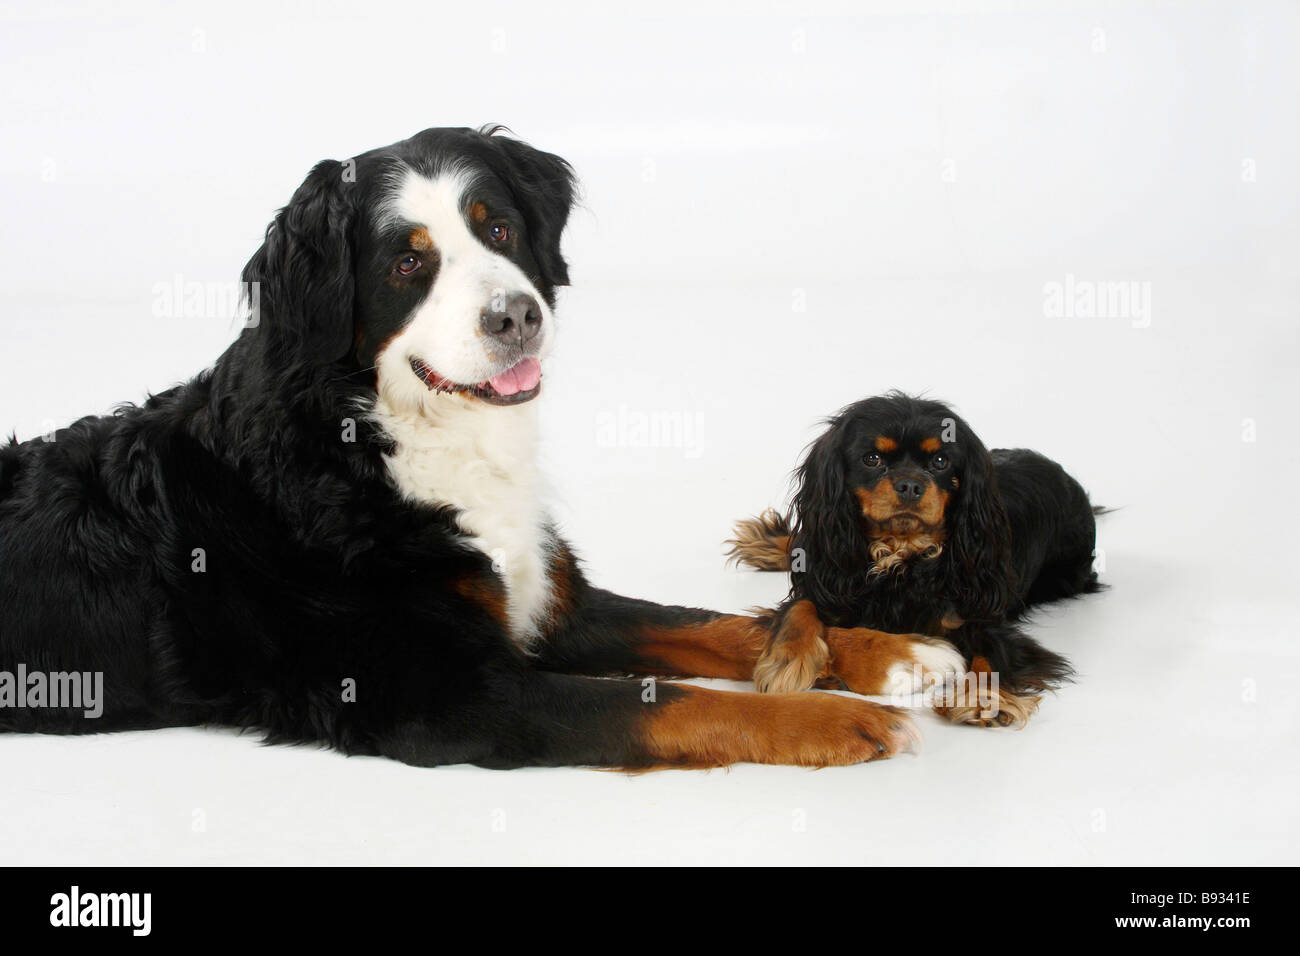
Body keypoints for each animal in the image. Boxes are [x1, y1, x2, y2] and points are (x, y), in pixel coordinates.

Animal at [0, 127, 967, 770]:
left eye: (495, 227)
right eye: (406, 263)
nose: (516, 316)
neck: (389, 440)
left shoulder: (550, 604)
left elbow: (724, 624)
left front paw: (891, 654)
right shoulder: (447, 693)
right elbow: (666, 701)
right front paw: (832, 722)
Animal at [728, 392, 1102, 728]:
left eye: (940, 462)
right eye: (872, 459)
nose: (909, 484)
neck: (900, 553)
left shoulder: (984, 616)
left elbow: (991, 656)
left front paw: (981, 698)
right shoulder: (826, 581)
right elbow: (800, 608)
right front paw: (787, 660)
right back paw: (769, 543)